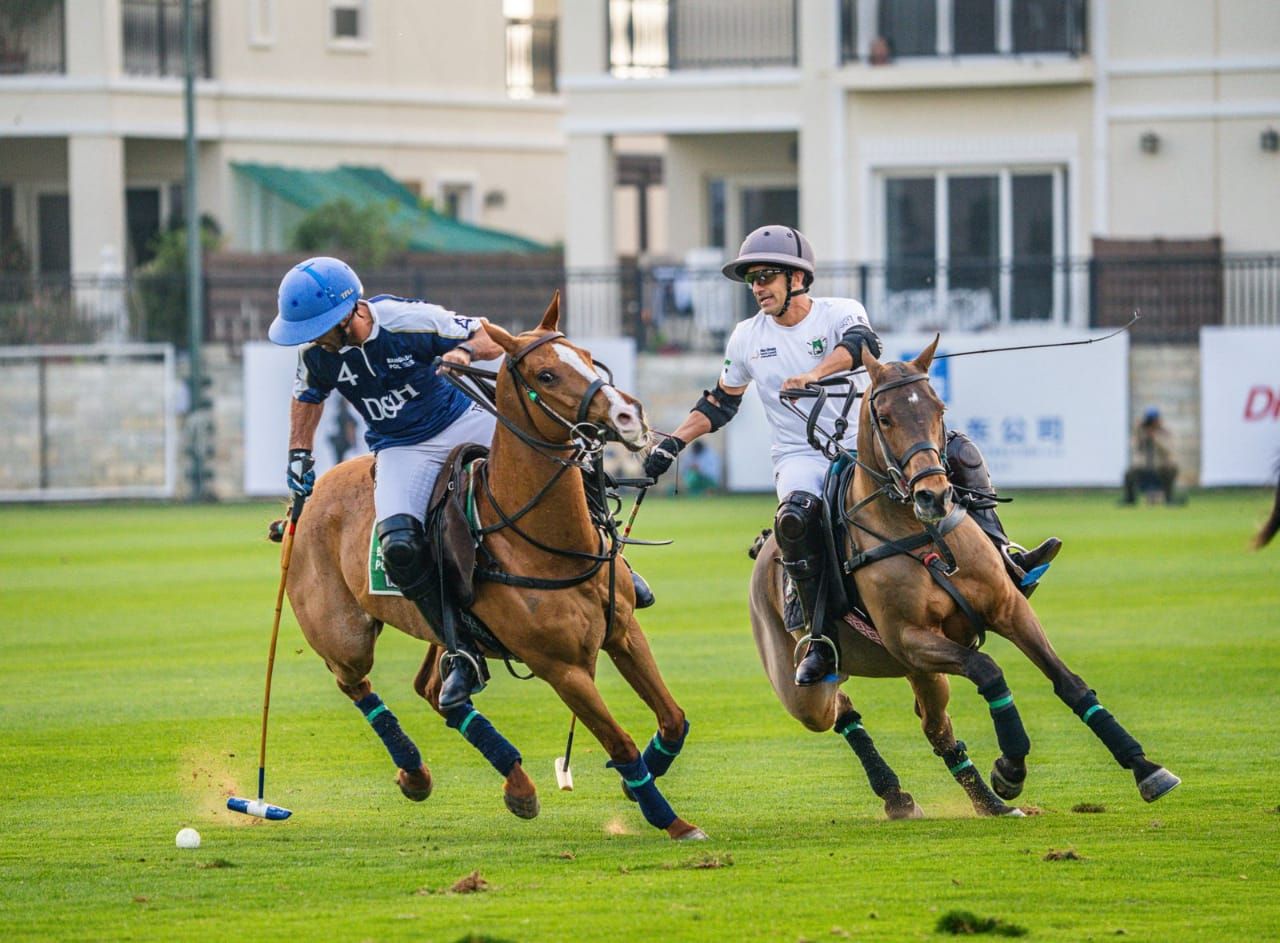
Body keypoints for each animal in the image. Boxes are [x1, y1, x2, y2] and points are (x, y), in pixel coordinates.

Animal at [280, 295, 706, 839]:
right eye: (546, 374)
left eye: (587, 356)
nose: (629, 416)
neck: (547, 543)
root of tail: (309, 501)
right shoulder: (560, 667)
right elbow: (620, 742)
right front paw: (668, 818)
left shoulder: (624, 631)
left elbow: (673, 717)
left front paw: (644, 784)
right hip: (343, 633)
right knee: (357, 681)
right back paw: (416, 773)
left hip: (441, 629)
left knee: (438, 690)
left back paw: (515, 782)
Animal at [747, 337, 1177, 818]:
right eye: (884, 417)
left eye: (939, 408)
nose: (933, 495)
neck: (921, 532)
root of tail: (764, 548)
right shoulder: (910, 637)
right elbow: (987, 669)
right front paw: (1011, 767)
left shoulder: (1008, 609)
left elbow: (1069, 682)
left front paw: (1144, 767)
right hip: (805, 688)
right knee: (840, 710)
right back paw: (898, 791)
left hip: (918, 672)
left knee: (934, 727)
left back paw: (984, 803)